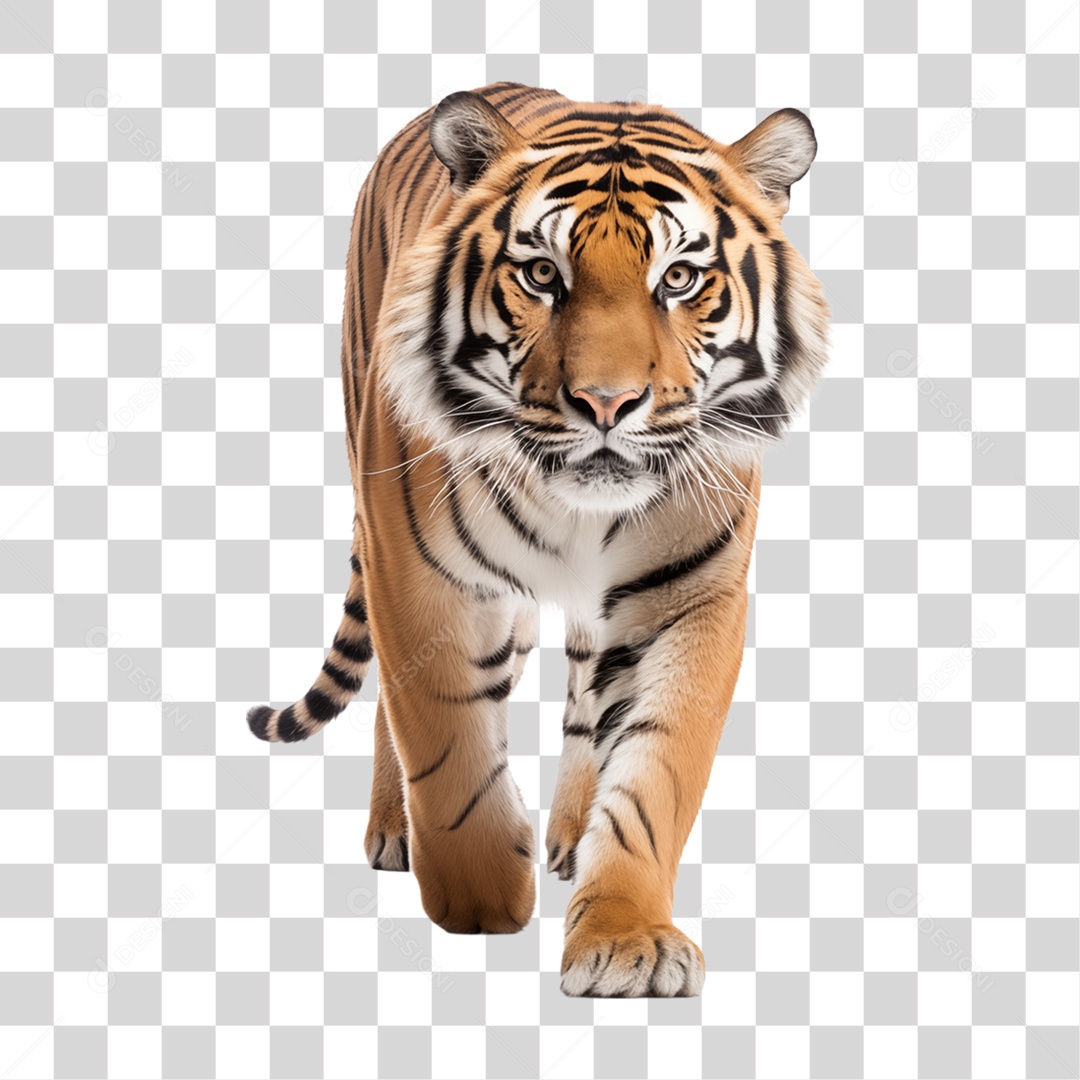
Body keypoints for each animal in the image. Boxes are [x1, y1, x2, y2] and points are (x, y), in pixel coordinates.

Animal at [247, 83, 829, 997]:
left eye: (679, 278)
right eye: (542, 274)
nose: (606, 403)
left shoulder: (691, 599)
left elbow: (656, 770)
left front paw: (626, 938)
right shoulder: (427, 581)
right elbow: (446, 748)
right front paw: (481, 899)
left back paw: (568, 836)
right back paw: (396, 831)